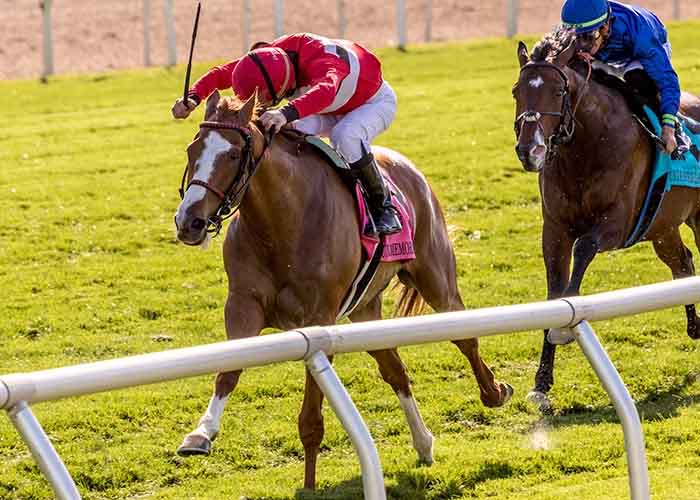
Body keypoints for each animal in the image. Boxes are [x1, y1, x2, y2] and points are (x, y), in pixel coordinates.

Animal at [174, 90, 516, 488]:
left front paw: (309, 484)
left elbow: (311, 419)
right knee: (395, 368)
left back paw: (494, 393)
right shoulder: (244, 305)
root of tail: (408, 166)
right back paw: (423, 442)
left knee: (465, 336)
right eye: (192, 149)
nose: (189, 222)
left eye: (231, 155)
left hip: (436, 280)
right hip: (365, 309)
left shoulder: (319, 321)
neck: (281, 224)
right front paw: (200, 434)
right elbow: (229, 369)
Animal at [512, 29, 700, 408]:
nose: (530, 151)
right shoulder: (554, 231)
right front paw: (541, 382)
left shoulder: (617, 224)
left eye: (557, 92)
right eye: (516, 92)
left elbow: (584, 248)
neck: (586, 148)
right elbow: (553, 293)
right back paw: (696, 326)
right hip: (663, 228)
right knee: (683, 264)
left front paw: (565, 328)